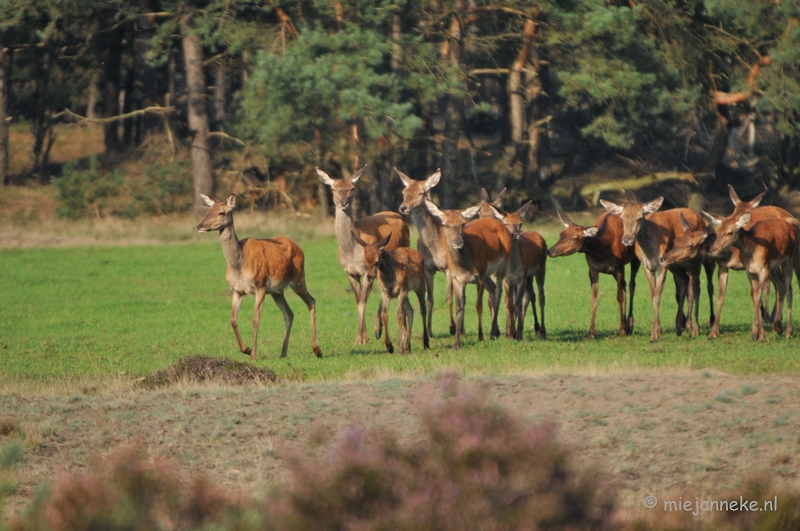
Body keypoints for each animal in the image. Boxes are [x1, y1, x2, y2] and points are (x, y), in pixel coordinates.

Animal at [197, 194, 322, 362]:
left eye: (221, 212)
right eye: (207, 211)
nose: (199, 226)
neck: (239, 266)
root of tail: (299, 247)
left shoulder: (260, 285)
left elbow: (255, 319)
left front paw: (253, 355)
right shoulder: (237, 290)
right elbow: (232, 319)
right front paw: (246, 349)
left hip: (298, 278)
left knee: (311, 301)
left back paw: (317, 350)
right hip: (277, 291)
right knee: (289, 313)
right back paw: (283, 353)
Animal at [316, 168, 410, 348]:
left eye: (352, 188)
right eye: (333, 189)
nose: (343, 202)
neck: (351, 250)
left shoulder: (368, 271)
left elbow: (362, 303)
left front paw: (359, 339)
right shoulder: (350, 272)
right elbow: (358, 300)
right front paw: (364, 337)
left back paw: (378, 328)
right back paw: (377, 329)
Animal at [484, 200, 548, 340]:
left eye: (520, 223)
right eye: (505, 223)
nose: (516, 235)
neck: (513, 268)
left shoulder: (521, 278)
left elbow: (518, 304)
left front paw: (518, 334)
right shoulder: (508, 280)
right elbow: (510, 303)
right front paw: (509, 333)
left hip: (540, 268)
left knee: (541, 296)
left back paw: (542, 331)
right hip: (529, 276)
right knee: (531, 295)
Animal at [600, 197, 712, 342]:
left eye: (640, 218)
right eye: (622, 218)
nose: (627, 239)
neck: (650, 250)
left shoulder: (662, 266)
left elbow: (658, 297)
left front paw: (655, 335)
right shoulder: (647, 266)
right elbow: (653, 295)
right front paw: (657, 331)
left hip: (694, 260)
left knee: (695, 288)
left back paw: (691, 327)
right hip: (674, 264)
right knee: (683, 281)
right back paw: (679, 327)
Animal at [708, 214, 796, 342]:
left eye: (730, 232)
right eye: (717, 231)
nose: (712, 249)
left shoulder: (764, 269)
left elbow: (757, 295)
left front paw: (760, 335)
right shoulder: (748, 271)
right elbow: (724, 297)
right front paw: (713, 333)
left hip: (788, 259)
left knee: (789, 289)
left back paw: (789, 331)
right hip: (774, 267)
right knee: (781, 284)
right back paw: (777, 327)